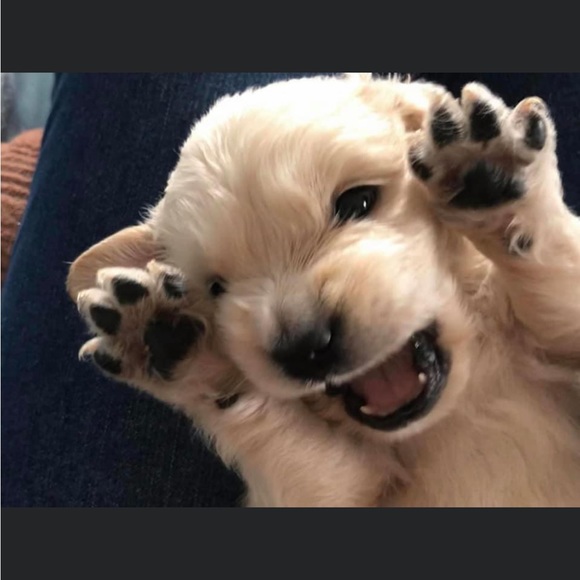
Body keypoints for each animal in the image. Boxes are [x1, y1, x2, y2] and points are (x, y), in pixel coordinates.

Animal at [67, 73, 580, 506]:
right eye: (215, 288)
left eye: (358, 202)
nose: (306, 348)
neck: (458, 404)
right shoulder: (336, 490)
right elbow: (307, 463)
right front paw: (175, 340)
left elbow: (563, 283)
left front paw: (491, 179)